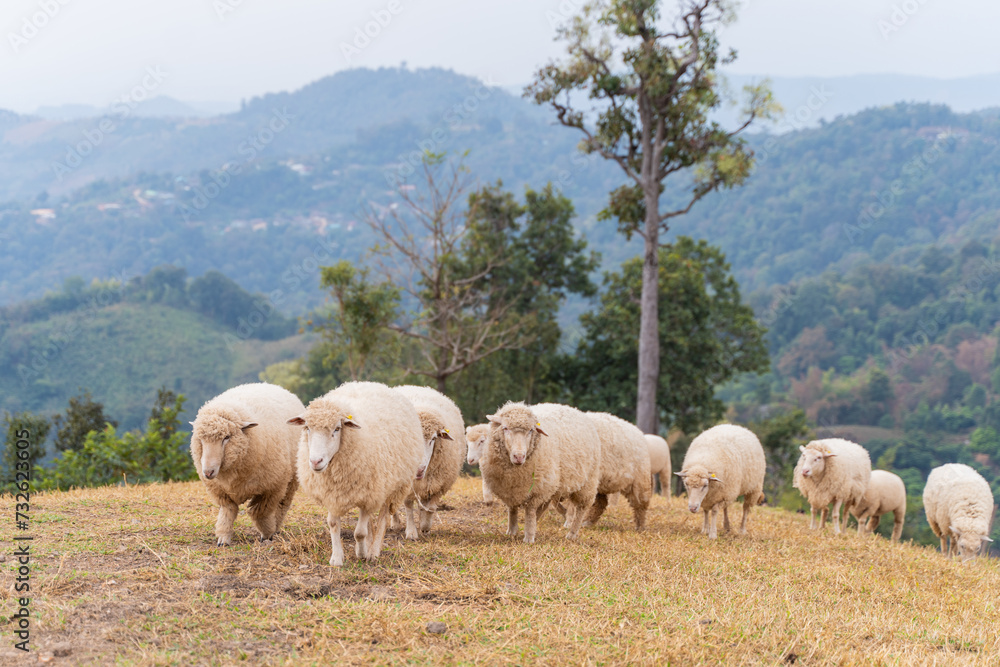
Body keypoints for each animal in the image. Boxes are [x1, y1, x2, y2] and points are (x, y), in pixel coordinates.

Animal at [189, 382, 305, 546]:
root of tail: (270, 384)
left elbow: (260, 512)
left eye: (227, 437)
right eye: (200, 439)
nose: (208, 472)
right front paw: (223, 538)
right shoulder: (222, 492)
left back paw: (275, 527)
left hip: (291, 478)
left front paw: (267, 534)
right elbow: (228, 511)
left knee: (283, 504)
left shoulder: (273, 487)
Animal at [289, 381, 424, 566]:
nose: (316, 461)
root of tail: (376, 384)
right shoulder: (331, 493)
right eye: (307, 427)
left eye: (337, 429)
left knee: (383, 518)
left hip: (389, 486)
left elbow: (359, 532)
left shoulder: (369, 495)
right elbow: (333, 524)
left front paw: (362, 553)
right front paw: (337, 558)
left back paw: (373, 551)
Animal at [391, 385, 466, 540]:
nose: (419, 469)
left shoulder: (439, 483)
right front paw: (411, 532)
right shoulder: (410, 483)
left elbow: (430, 507)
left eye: (433, 439)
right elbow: (408, 505)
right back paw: (395, 523)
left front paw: (425, 526)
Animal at [481, 402, 601, 544]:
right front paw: (512, 531)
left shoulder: (536, 490)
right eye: (505, 428)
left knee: (581, 508)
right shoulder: (511, 488)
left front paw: (528, 537)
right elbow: (512, 509)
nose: (519, 456)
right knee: (546, 504)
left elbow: (530, 511)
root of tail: (575, 409)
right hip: (552, 485)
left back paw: (572, 534)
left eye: (531, 430)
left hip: (587, 481)